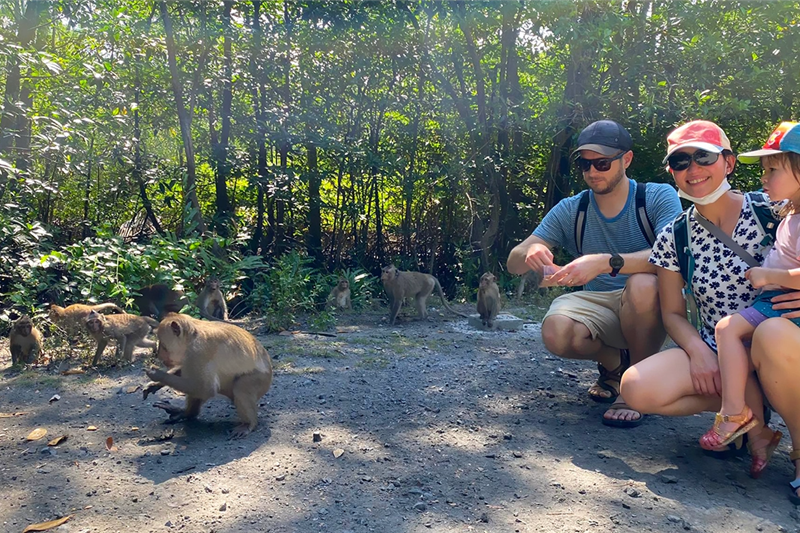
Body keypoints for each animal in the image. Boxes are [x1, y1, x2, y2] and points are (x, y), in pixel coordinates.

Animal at [144, 313, 273, 439]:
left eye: (163, 345)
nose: (158, 354)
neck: (191, 337)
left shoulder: (197, 352)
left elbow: (206, 389)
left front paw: (157, 375)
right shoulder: (189, 356)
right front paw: (155, 384)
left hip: (261, 379)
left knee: (241, 388)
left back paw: (248, 424)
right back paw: (187, 413)